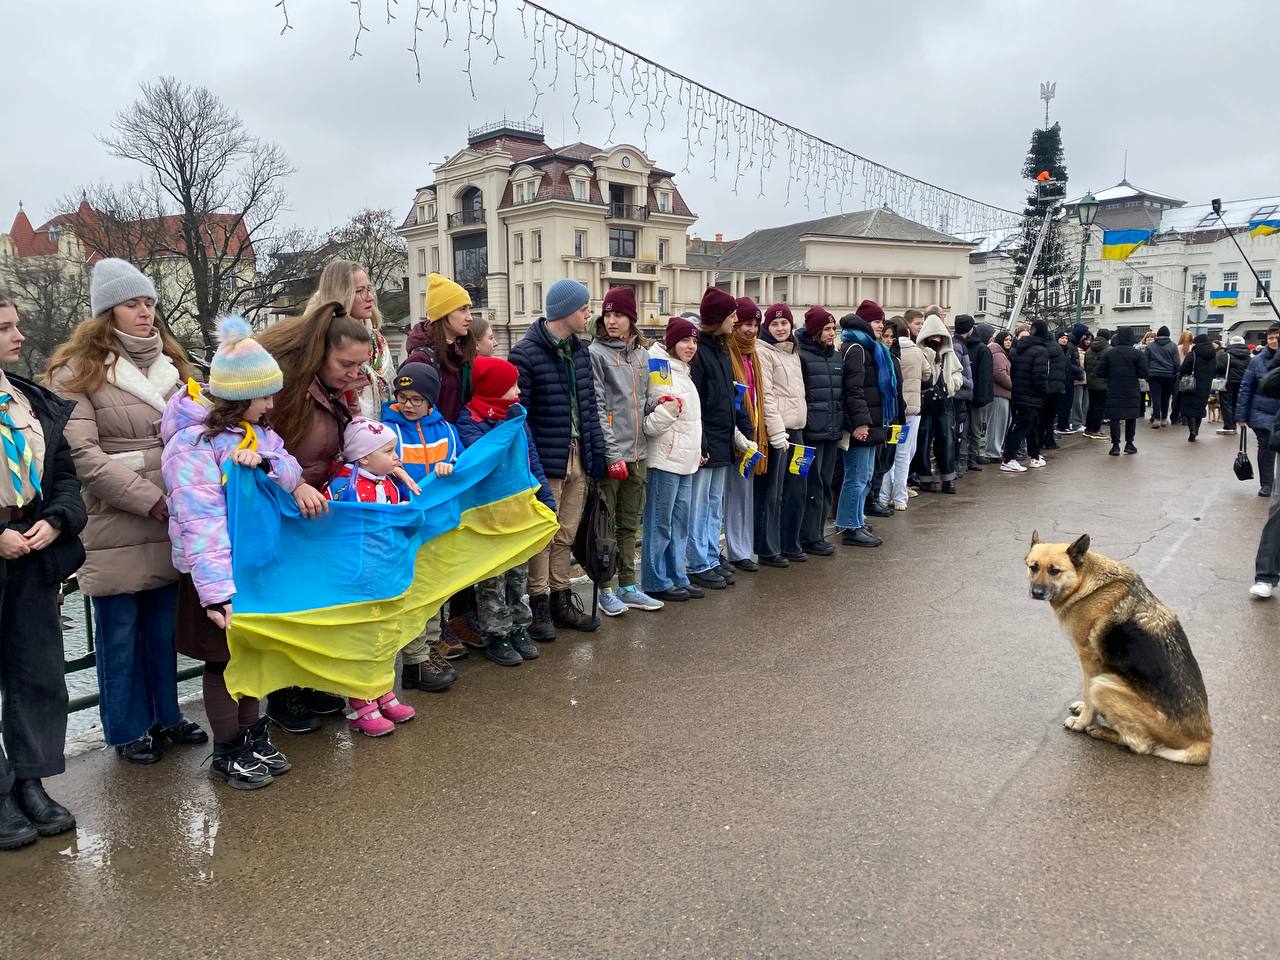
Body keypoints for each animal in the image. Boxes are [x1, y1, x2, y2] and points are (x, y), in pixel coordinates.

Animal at [1024, 535, 1213, 768]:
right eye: (1033, 567)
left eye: (1054, 571)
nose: (1036, 593)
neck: (1084, 583)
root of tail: (1203, 741)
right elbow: (1087, 697)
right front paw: (1084, 709)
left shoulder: (1089, 661)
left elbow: (1088, 694)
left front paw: (1082, 721)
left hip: (1103, 685)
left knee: (1141, 745)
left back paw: (1101, 731)